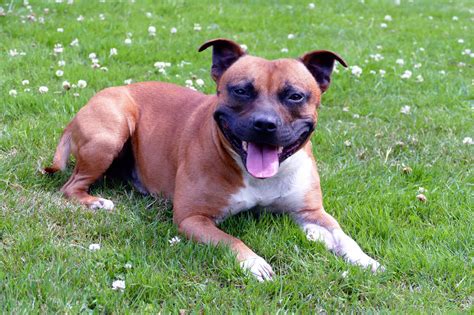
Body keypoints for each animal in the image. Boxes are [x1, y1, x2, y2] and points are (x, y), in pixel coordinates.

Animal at [45, 37, 382, 282]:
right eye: (241, 90)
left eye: (295, 96)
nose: (265, 124)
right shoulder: (193, 219)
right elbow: (230, 239)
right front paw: (254, 263)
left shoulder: (312, 211)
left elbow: (343, 237)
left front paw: (365, 259)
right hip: (110, 132)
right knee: (71, 186)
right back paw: (95, 202)